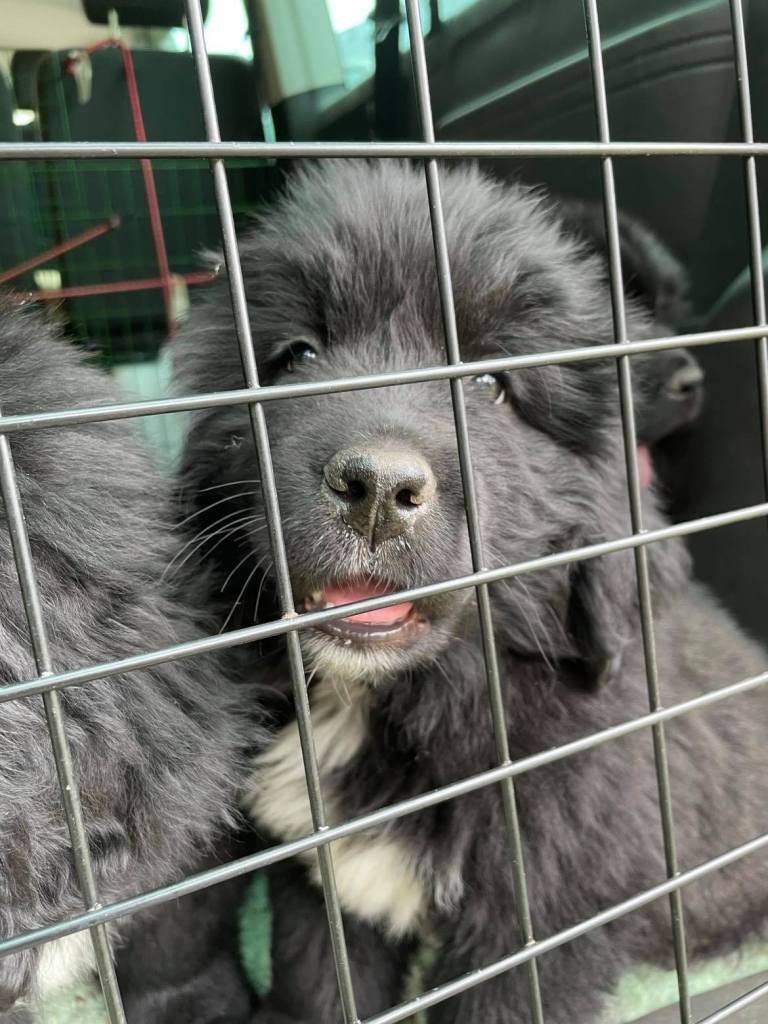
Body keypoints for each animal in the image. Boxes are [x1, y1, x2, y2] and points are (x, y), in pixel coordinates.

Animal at [171, 160, 767, 1023]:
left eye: (490, 385)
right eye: (298, 355)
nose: (377, 488)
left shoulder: (536, 932)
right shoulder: (322, 886)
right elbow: (320, 984)